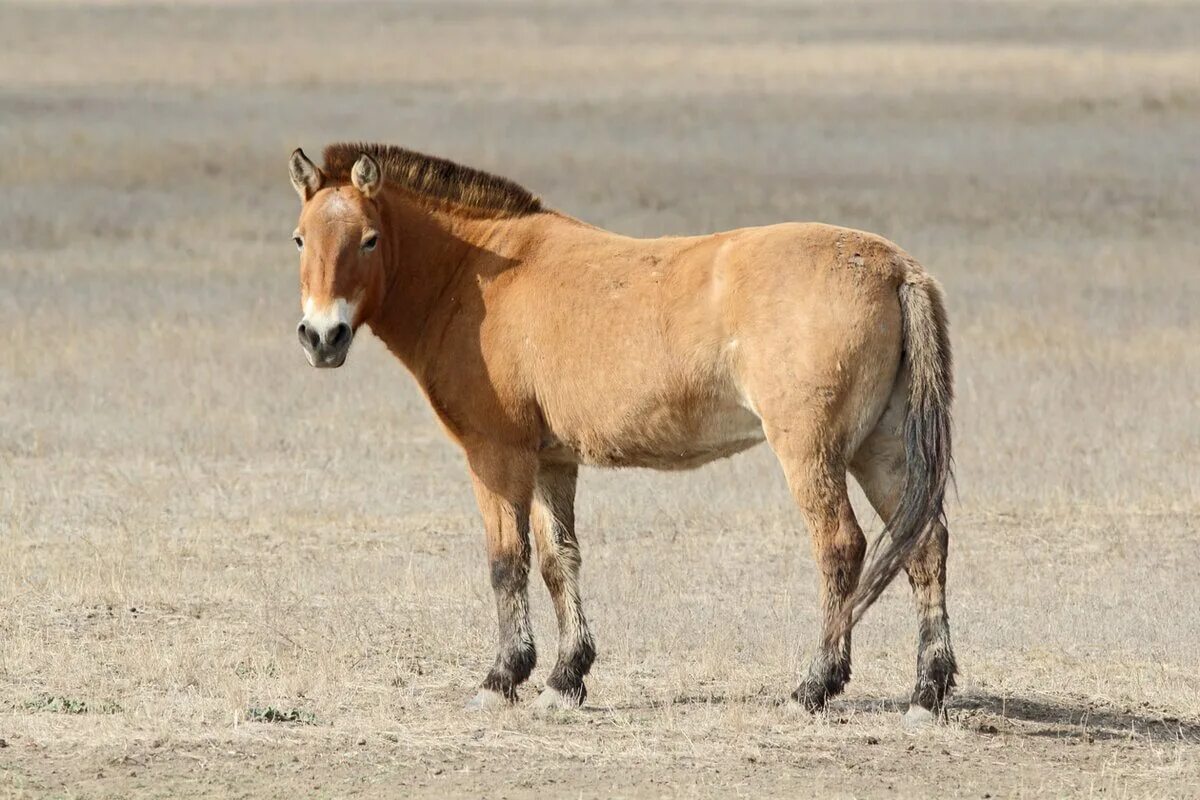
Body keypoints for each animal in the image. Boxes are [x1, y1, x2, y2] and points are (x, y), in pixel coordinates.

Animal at [283, 143, 955, 724]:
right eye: (299, 238)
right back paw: (929, 692)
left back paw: (813, 686)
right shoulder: (550, 461)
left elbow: (506, 562)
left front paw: (501, 679)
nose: (321, 337)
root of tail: (896, 268)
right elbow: (558, 560)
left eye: (369, 239)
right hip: (879, 450)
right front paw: (564, 678)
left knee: (841, 547)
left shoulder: (496, 456)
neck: (477, 274)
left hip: (811, 453)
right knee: (925, 544)